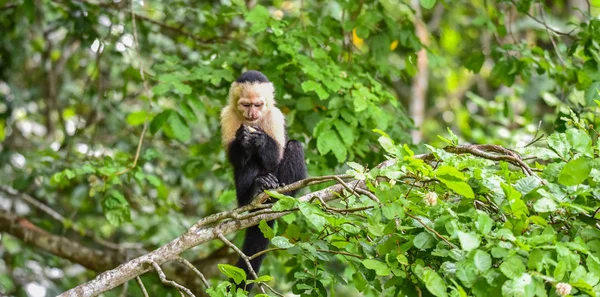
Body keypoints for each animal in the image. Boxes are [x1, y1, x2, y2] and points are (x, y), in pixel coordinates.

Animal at [219, 70, 308, 290]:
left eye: (258, 105)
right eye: (246, 105)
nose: (252, 115)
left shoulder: (274, 115)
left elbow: (275, 155)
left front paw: (260, 140)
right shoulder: (227, 115)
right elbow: (235, 158)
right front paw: (242, 139)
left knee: (294, 146)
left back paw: (280, 193)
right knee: (247, 163)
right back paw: (255, 192)